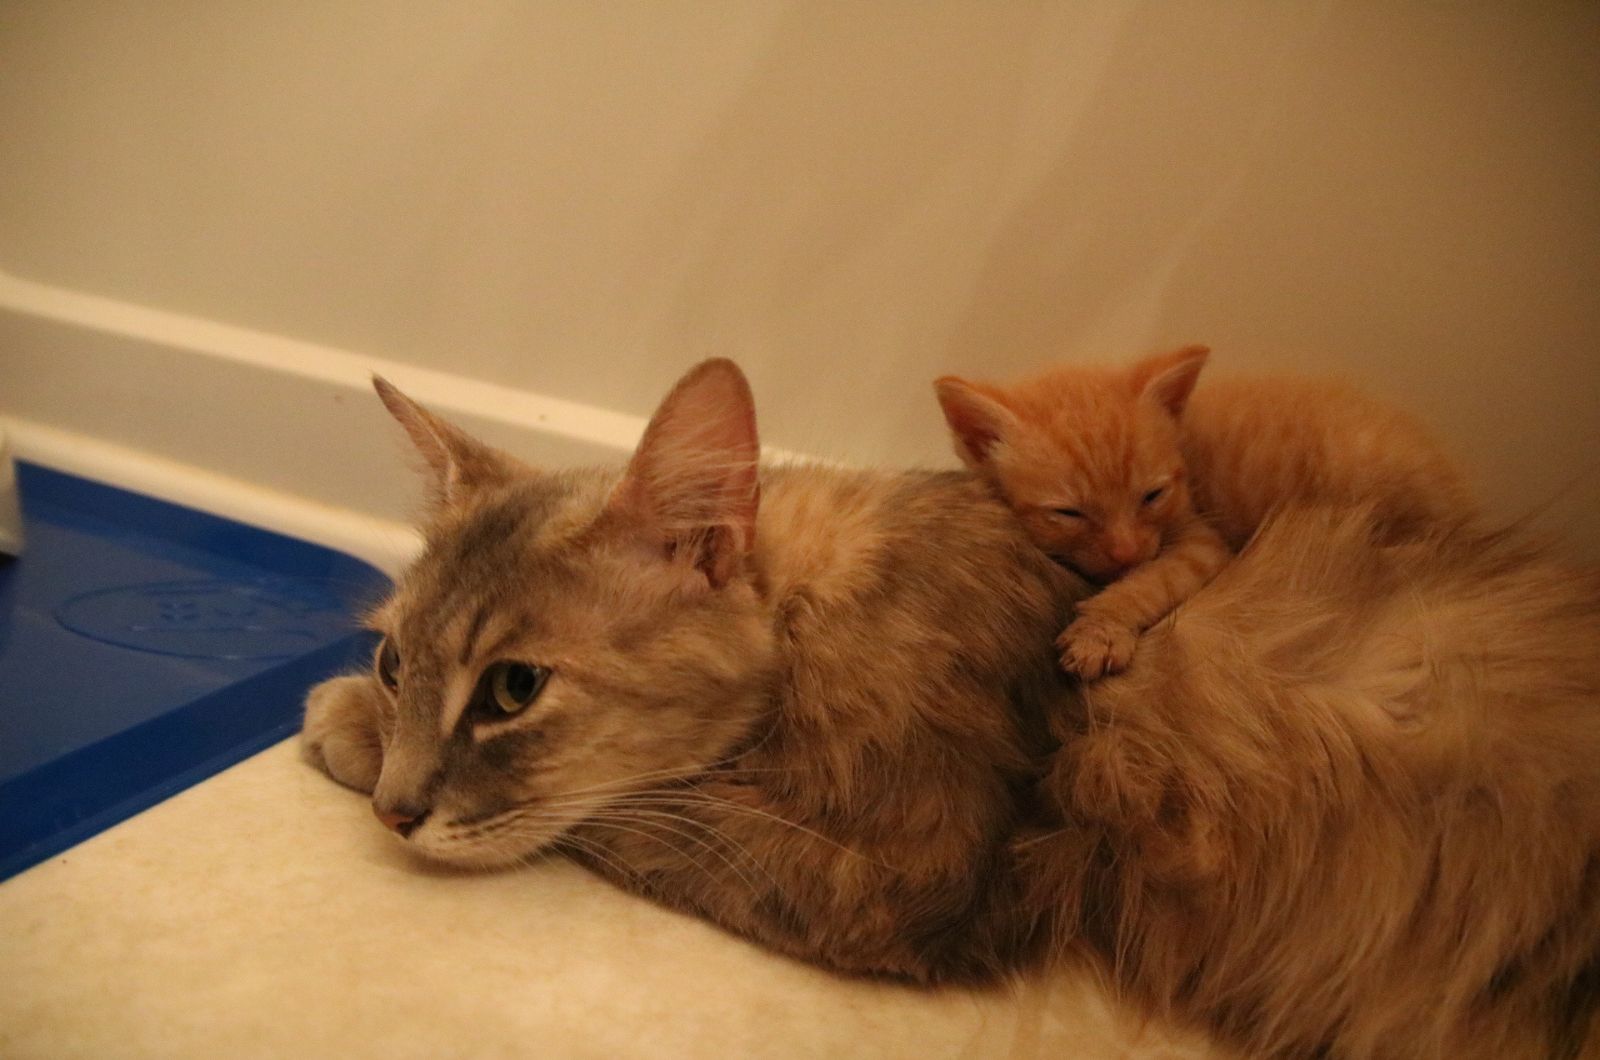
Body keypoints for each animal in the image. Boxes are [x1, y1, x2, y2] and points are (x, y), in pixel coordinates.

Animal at [934, 349, 1472, 682]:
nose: (1127, 551)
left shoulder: (1202, 541)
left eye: (1152, 495)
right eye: (1068, 512)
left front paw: (1100, 629)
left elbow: (1151, 582)